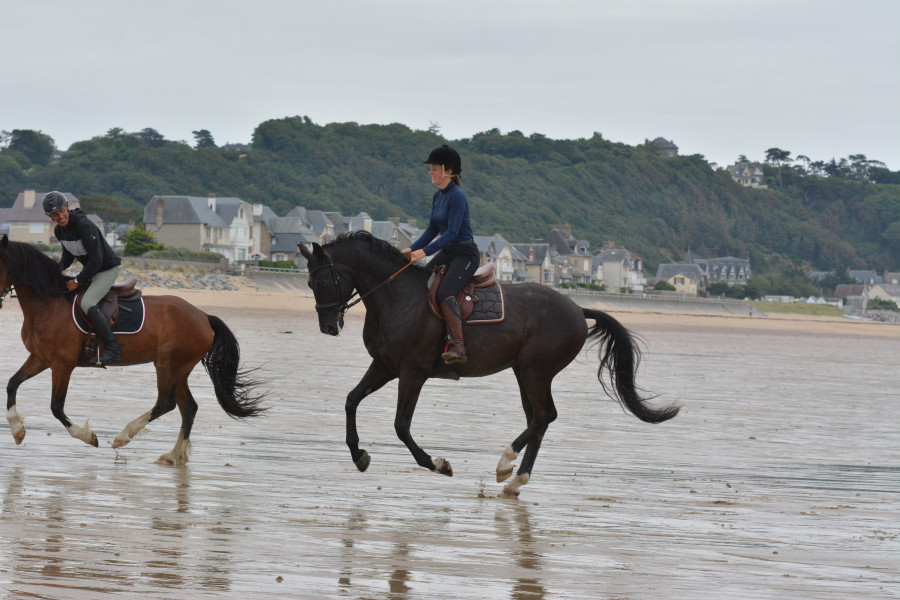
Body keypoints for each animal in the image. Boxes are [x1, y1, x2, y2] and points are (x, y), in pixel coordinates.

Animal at [0, 235, 265, 464]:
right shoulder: (40, 358)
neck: (49, 303)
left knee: (165, 403)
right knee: (188, 408)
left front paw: (88, 437)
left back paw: (124, 436)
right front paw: (16, 430)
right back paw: (173, 455)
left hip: (168, 365)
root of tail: (203, 317)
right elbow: (12, 384)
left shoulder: (62, 364)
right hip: (179, 370)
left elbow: (56, 407)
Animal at [299, 231, 678, 498]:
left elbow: (401, 426)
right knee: (539, 419)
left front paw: (438, 464)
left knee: (544, 415)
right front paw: (358, 455)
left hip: (535, 370)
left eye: (325, 281)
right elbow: (351, 400)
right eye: (310, 283)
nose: (328, 326)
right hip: (524, 372)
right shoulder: (384, 366)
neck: (396, 298)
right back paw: (514, 479)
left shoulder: (412, 373)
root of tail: (575, 308)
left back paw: (506, 464)